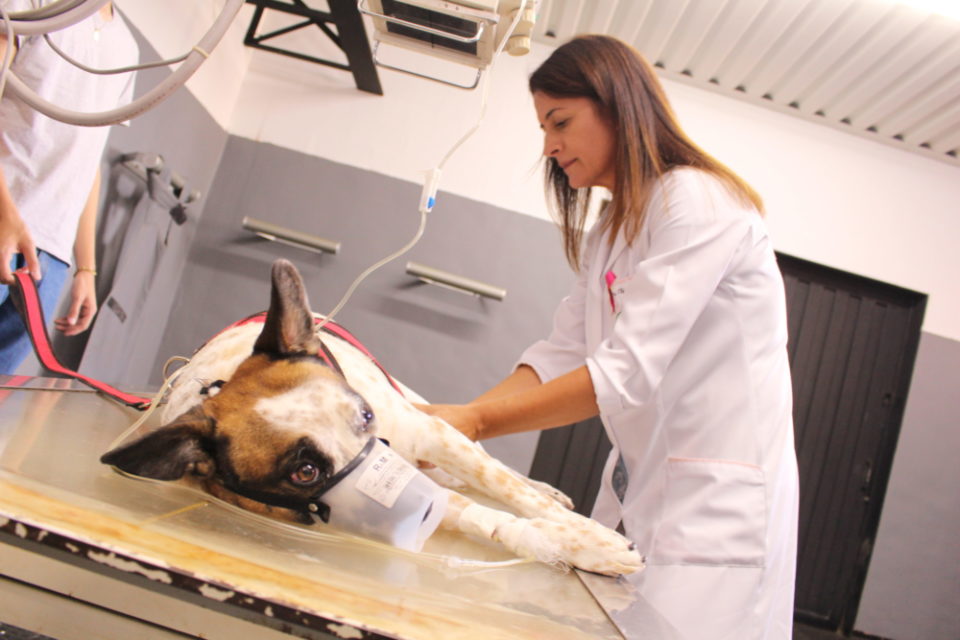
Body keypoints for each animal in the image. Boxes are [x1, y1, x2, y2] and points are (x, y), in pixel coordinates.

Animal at [101, 258, 644, 576]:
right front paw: (564, 543)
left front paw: (589, 534)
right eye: (305, 472)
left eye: (364, 414)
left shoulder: (433, 435)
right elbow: (485, 514)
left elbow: (513, 494)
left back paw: (548, 491)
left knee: (502, 471)